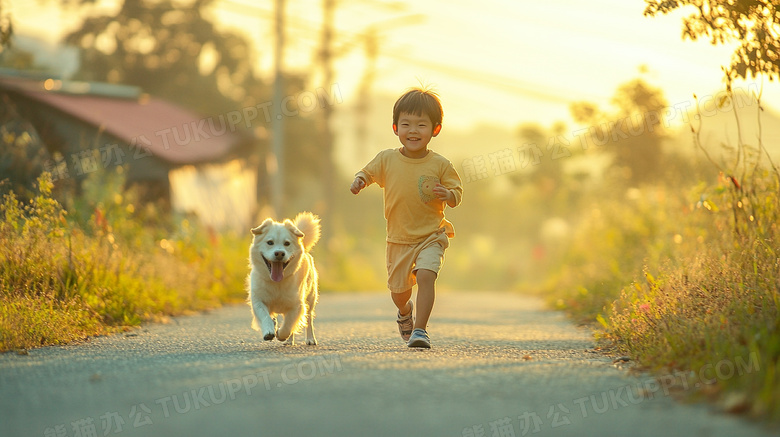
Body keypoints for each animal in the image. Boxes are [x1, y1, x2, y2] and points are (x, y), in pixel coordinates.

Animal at [247, 211, 320, 344]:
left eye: (287, 243)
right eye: (270, 242)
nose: (279, 253)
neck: (277, 283)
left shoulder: (297, 305)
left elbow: (288, 325)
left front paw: (280, 334)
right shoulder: (258, 300)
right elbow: (265, 316)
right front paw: (270, 330)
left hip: (311, 298)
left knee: (308, 319)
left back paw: (309, 339)